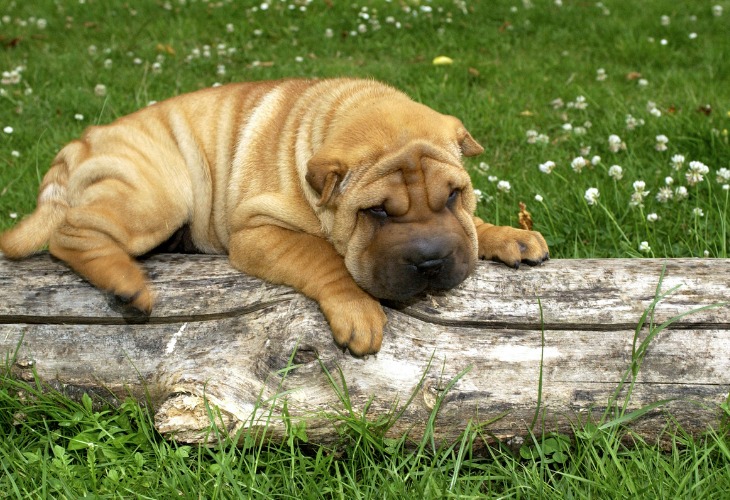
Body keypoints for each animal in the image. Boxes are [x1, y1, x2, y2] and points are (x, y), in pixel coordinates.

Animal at [0, 78, 544, 356]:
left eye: (454, 196)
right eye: (375, 212)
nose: (431, 263)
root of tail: (80, 142)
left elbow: (472, 228)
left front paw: (507, 235)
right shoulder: (258, 231)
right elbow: (323, 256)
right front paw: (358, 310)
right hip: (162, 191)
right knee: (71, 235)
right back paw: (125, 282)